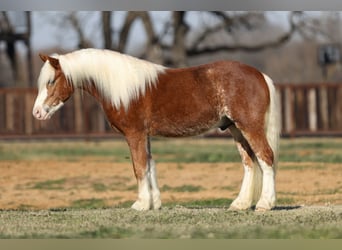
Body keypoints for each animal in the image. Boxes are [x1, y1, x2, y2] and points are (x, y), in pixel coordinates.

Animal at [32, 48, 280, 211]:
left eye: (51, 82)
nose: (37, 113)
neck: (124, 88)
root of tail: (260, 75)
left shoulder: (135, 135)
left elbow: (139, 167)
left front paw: (140, 204)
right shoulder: (145, 136)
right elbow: (150, 165)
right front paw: (155, 204)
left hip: (249, 127)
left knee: (266, 157)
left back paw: (264, 204)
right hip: (235, 129)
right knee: (250, 162)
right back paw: (240, 204)